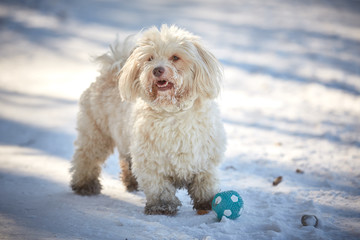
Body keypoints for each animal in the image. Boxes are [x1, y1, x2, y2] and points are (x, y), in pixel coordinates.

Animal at [70, 24, 226, 216]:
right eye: (150, 58)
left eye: (175, 57)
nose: (157, 69)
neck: (173, 112)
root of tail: (111, 70)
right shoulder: (151, 161)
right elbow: (159, 188)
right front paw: (162, 207)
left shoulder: (205, 159)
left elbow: (205, 183)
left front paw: (208, 203)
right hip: (95, 133)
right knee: (86, 157)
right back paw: (84, 184)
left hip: (123, 138)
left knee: (125, 159)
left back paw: (130, 181)